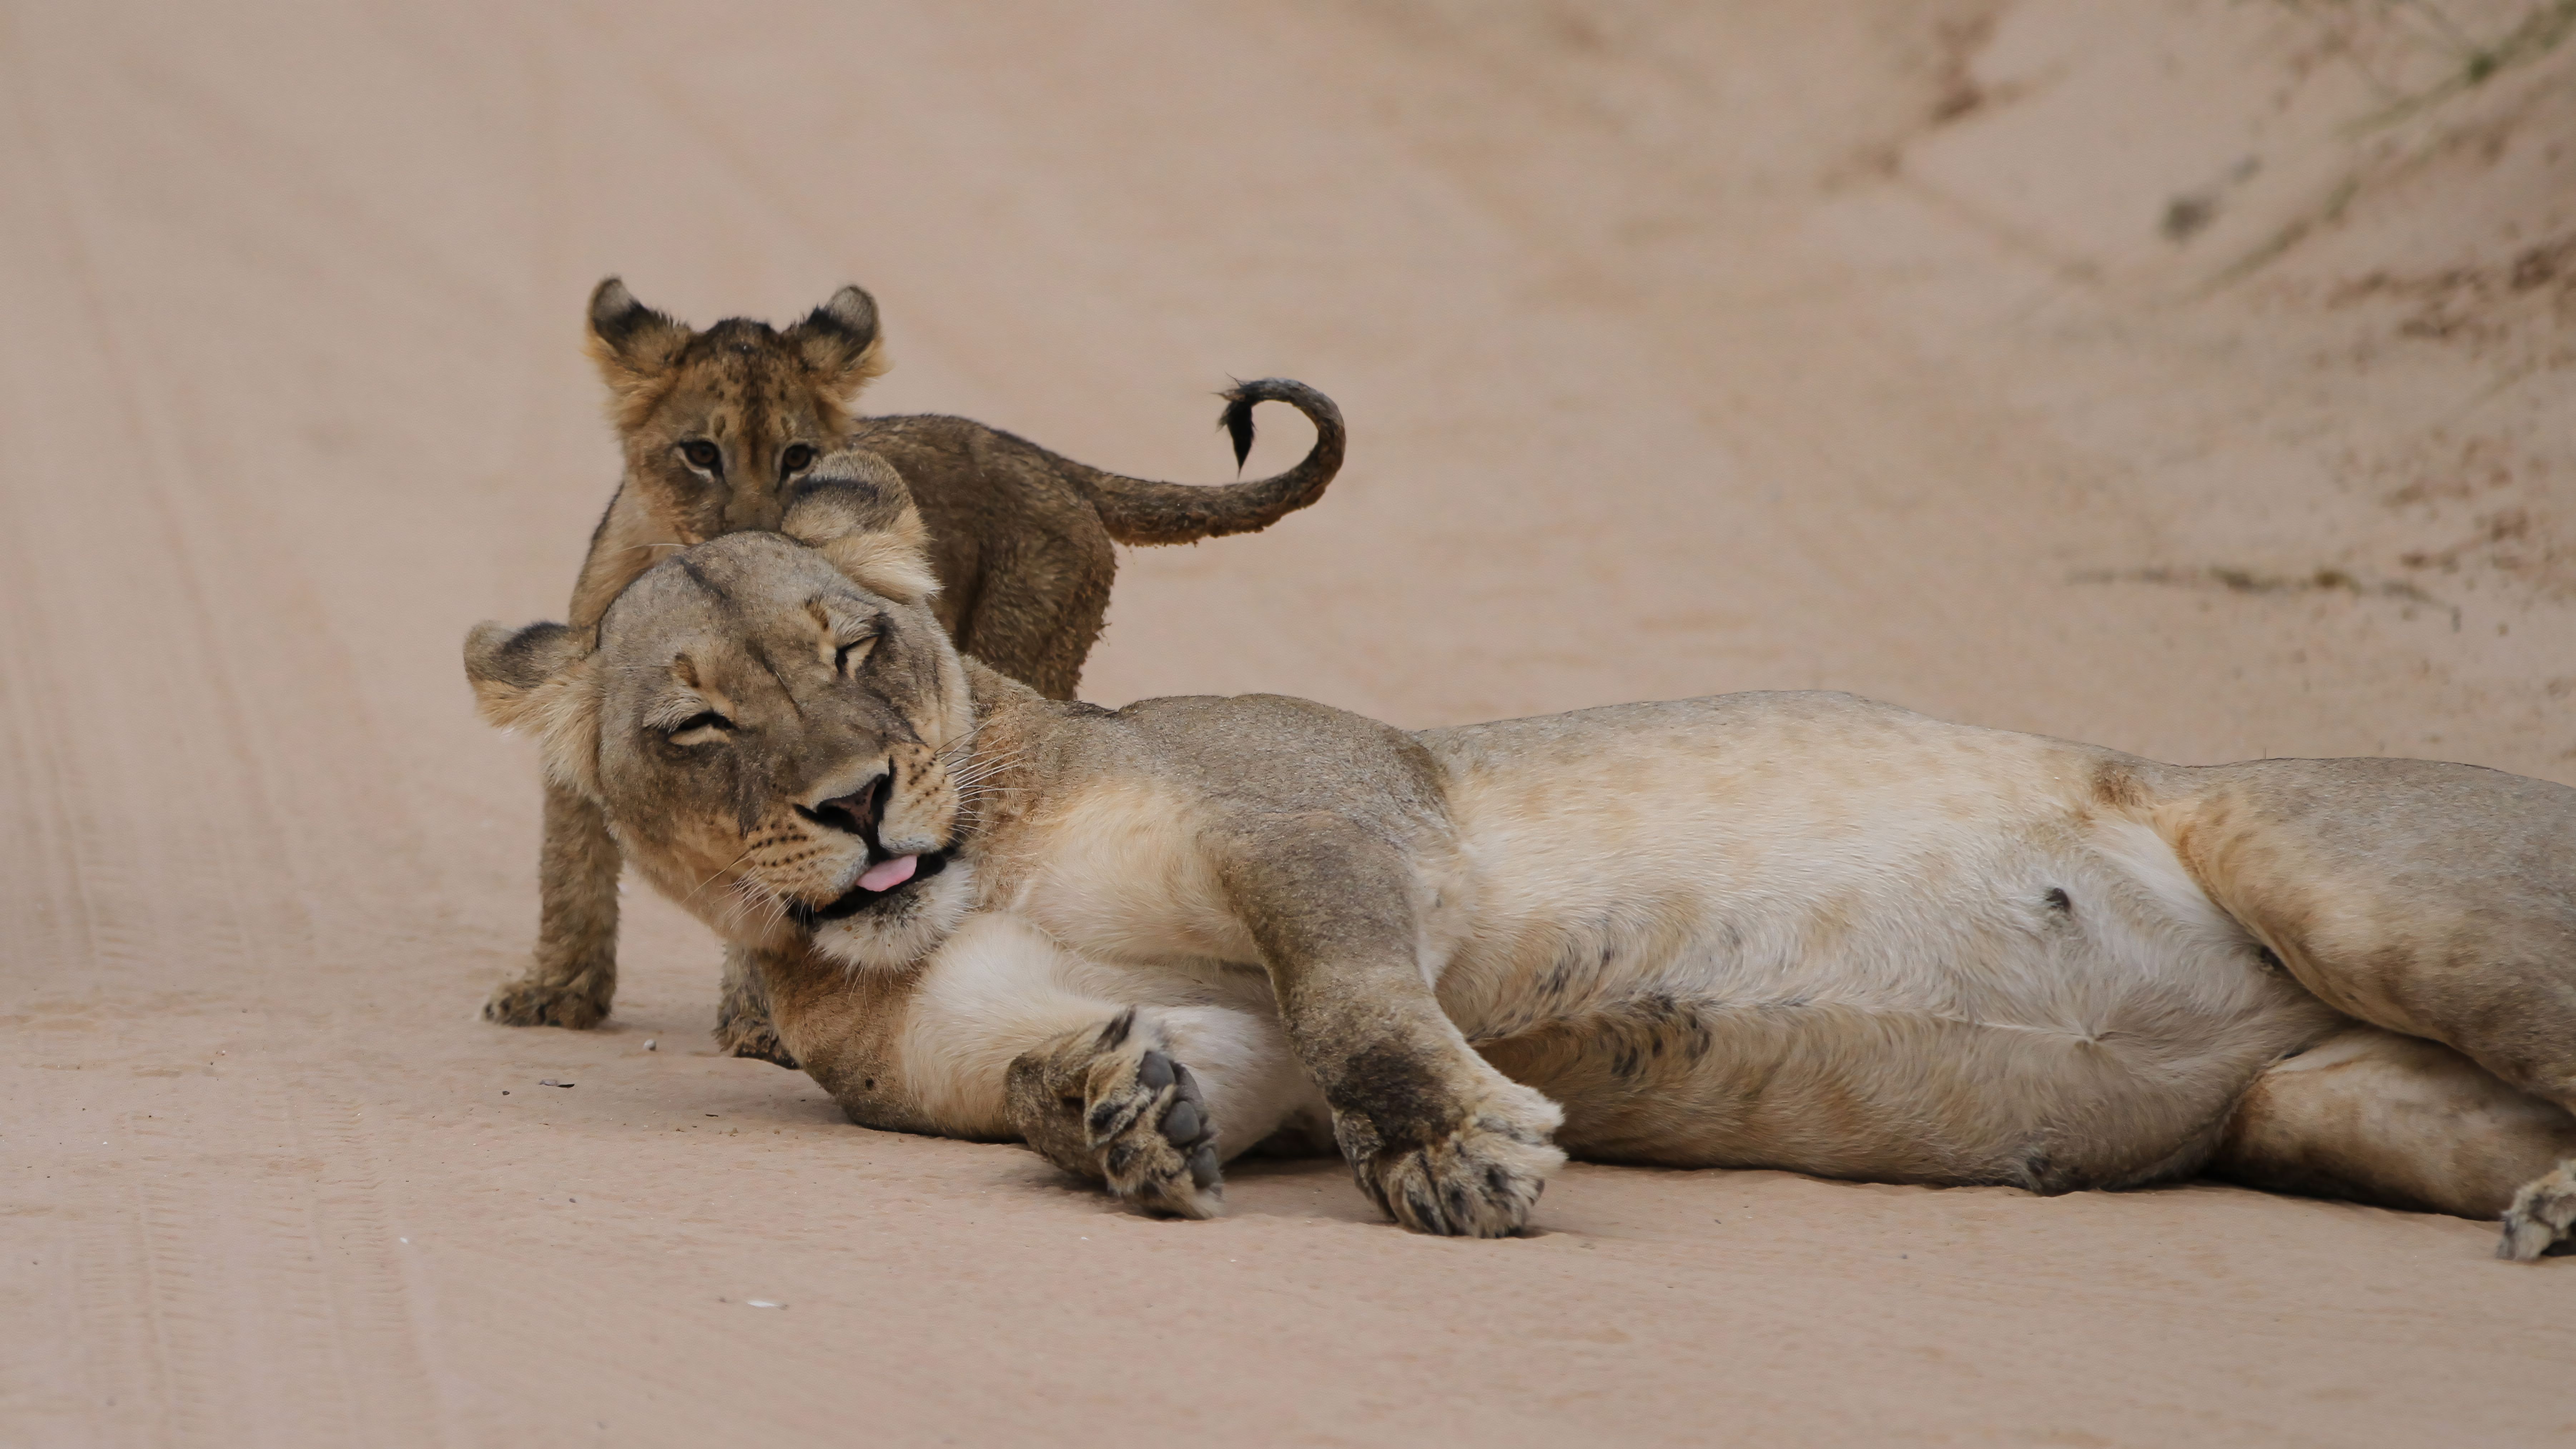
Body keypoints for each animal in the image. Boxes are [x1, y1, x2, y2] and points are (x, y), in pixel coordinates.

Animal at [463, 489, 2576, 1255]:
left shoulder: (1328, 806)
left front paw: (1455, 1153)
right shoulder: (1204, 1032)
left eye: (854, 645)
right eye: (698, 725)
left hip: (2340, 875)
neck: (975, 871)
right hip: (2337, 1100)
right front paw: (1117, 1113)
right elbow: (1103, 1074)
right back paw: (2548, 1206)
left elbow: (1358, 995)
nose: (859, 803)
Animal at [489, 278, 1345, 1065]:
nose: (764, 541)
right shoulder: (582, 710)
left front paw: (757, 1020)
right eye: (701, 454)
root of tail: (1040, 457)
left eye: (799, 458)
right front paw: (556, 991)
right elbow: (571, 858)